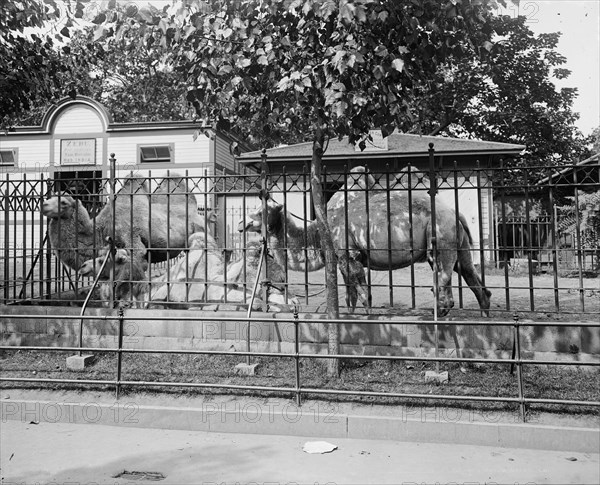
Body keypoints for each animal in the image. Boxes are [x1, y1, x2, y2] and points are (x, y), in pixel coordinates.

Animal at [239, 166, 492, 318]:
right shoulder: (341, 257)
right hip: (458, 242)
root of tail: (454, 212)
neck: (318, 230)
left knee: (444, 278)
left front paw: (367, 317)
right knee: (470, 274)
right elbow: (349, 294)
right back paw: (484, 315)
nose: (242, 223)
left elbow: (363, 293)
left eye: (261, 211)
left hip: (440, 235)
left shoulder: (349, 253)